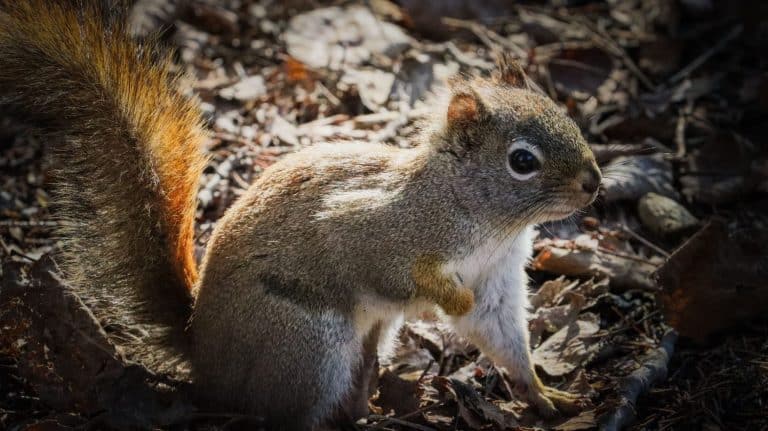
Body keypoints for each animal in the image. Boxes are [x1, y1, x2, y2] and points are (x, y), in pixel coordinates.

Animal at [0, 1, 602, 430]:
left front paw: (544, 394)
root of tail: (206, 359)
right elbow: (391, 268)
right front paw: (449, 298)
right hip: (307, 348)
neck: (486, 221)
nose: (593, 183)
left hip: (362, 342)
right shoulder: (374, 227)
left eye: (564, 113)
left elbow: (501, 333)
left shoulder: (498, 277)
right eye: (522, 161)